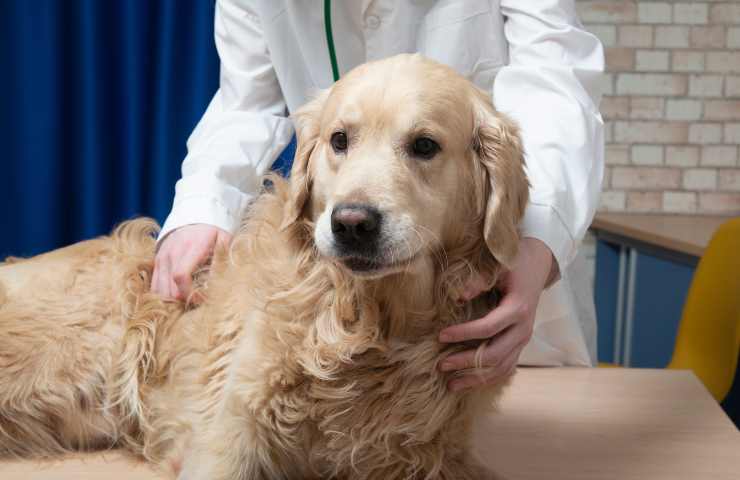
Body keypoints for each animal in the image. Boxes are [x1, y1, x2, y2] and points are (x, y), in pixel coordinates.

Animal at [1, 54, 532, 478]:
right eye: (340, 140)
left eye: (424, 145)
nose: (351, 223)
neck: (371, 323)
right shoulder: (230, 436)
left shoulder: (423, 458)